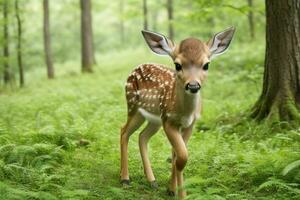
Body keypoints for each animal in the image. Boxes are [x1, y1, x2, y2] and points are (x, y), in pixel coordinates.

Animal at [119, 27, 234, 198]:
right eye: (178, 65)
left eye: (206, 65)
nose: (193, 85)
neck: (184, 113)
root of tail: (134, 69)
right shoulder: (169, 120)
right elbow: (182, 157)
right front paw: (181, 195)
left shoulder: (190, 124)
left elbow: (176, 155)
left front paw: (171, 189)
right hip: (134, 106)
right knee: (124, 131)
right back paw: (125, 178)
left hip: (154, 119)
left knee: (142, 136)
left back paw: (152, 180)